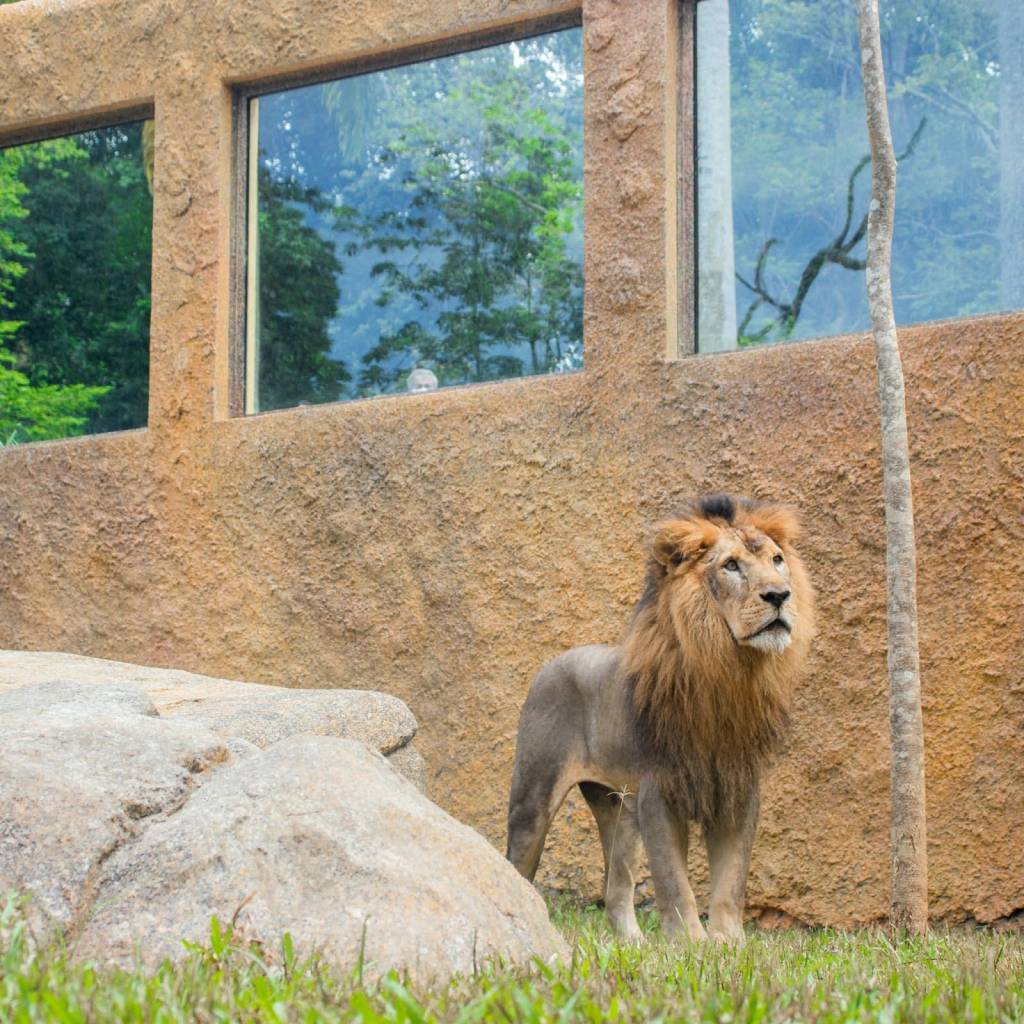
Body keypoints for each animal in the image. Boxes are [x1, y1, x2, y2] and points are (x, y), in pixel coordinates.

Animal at [505, 495, 815, 942]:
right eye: (731, 566)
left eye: (777, 560)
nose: (780, 595)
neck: (728, 673)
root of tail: (552, 662)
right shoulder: (660, 791)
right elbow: (674, 883)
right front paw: (690, 944)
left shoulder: (738, 791)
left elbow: (731, 881)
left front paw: (729, 944)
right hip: (534, 799)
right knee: (517, 864)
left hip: (619, 810)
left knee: (616, 890)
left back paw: (633, 945)